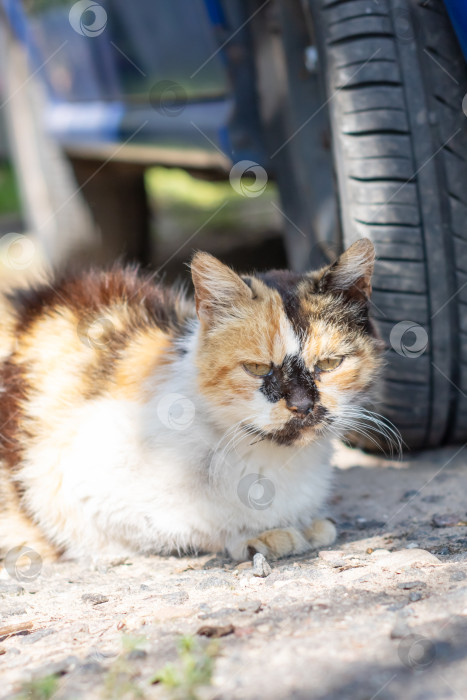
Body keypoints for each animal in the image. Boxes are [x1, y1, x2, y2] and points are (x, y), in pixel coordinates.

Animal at [0, 238, 384, 560]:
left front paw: (307, 522)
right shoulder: (66, 486)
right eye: (257, 368)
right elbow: (192, 524)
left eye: (330, 363)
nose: (302, 405)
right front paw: (260, 534)